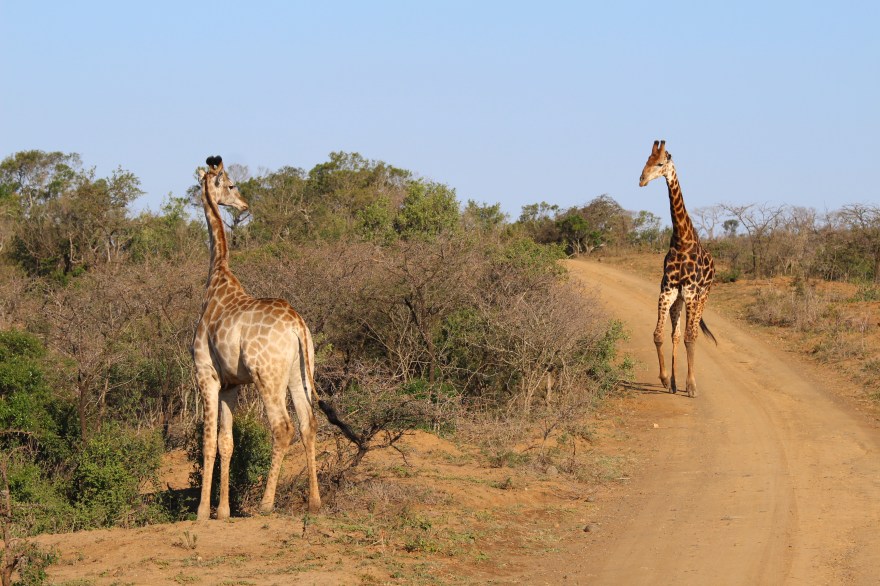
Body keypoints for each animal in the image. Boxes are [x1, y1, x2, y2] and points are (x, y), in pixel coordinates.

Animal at [192, 155, 321, 520]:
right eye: (232, 185)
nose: (244, 204)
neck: (217, 278)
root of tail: (297, 325)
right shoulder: (231, 384)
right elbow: (227, 442)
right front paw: (223, 512)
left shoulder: (205, 374)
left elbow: (208, 441)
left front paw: (202, 512)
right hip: (297, 373)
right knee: (308, 424)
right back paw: (314, 502)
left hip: (267, 375)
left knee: (282, 427)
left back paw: (266, 504)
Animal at [639, 140, 716, 398]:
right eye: (646, 160)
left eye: (661, 163)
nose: (641, 179)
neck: (682, 239)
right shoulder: (668, 290)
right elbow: (659, 335)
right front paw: (665, 379)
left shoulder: (692, 293)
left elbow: (690, 338)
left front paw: (691, 386)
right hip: (679, 300)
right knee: (676, 334)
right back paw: (673, 382)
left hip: (702, 297)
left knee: (692, 334)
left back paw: (686, 383)